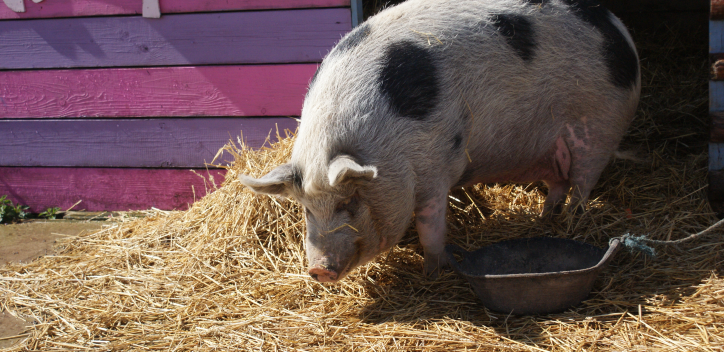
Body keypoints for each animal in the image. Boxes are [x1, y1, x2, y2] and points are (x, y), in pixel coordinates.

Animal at [238, 0, 640, 282]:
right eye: (306, 208)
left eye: (349, 202)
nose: (318, 270)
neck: (385, 143)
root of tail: (618, 27)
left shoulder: (436, 163)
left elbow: (430, 225)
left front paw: (433, 271)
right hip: (554, 149)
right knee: (558, 183)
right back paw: (545, 219)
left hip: (600, 126)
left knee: (582, 184)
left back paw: (571, 221)